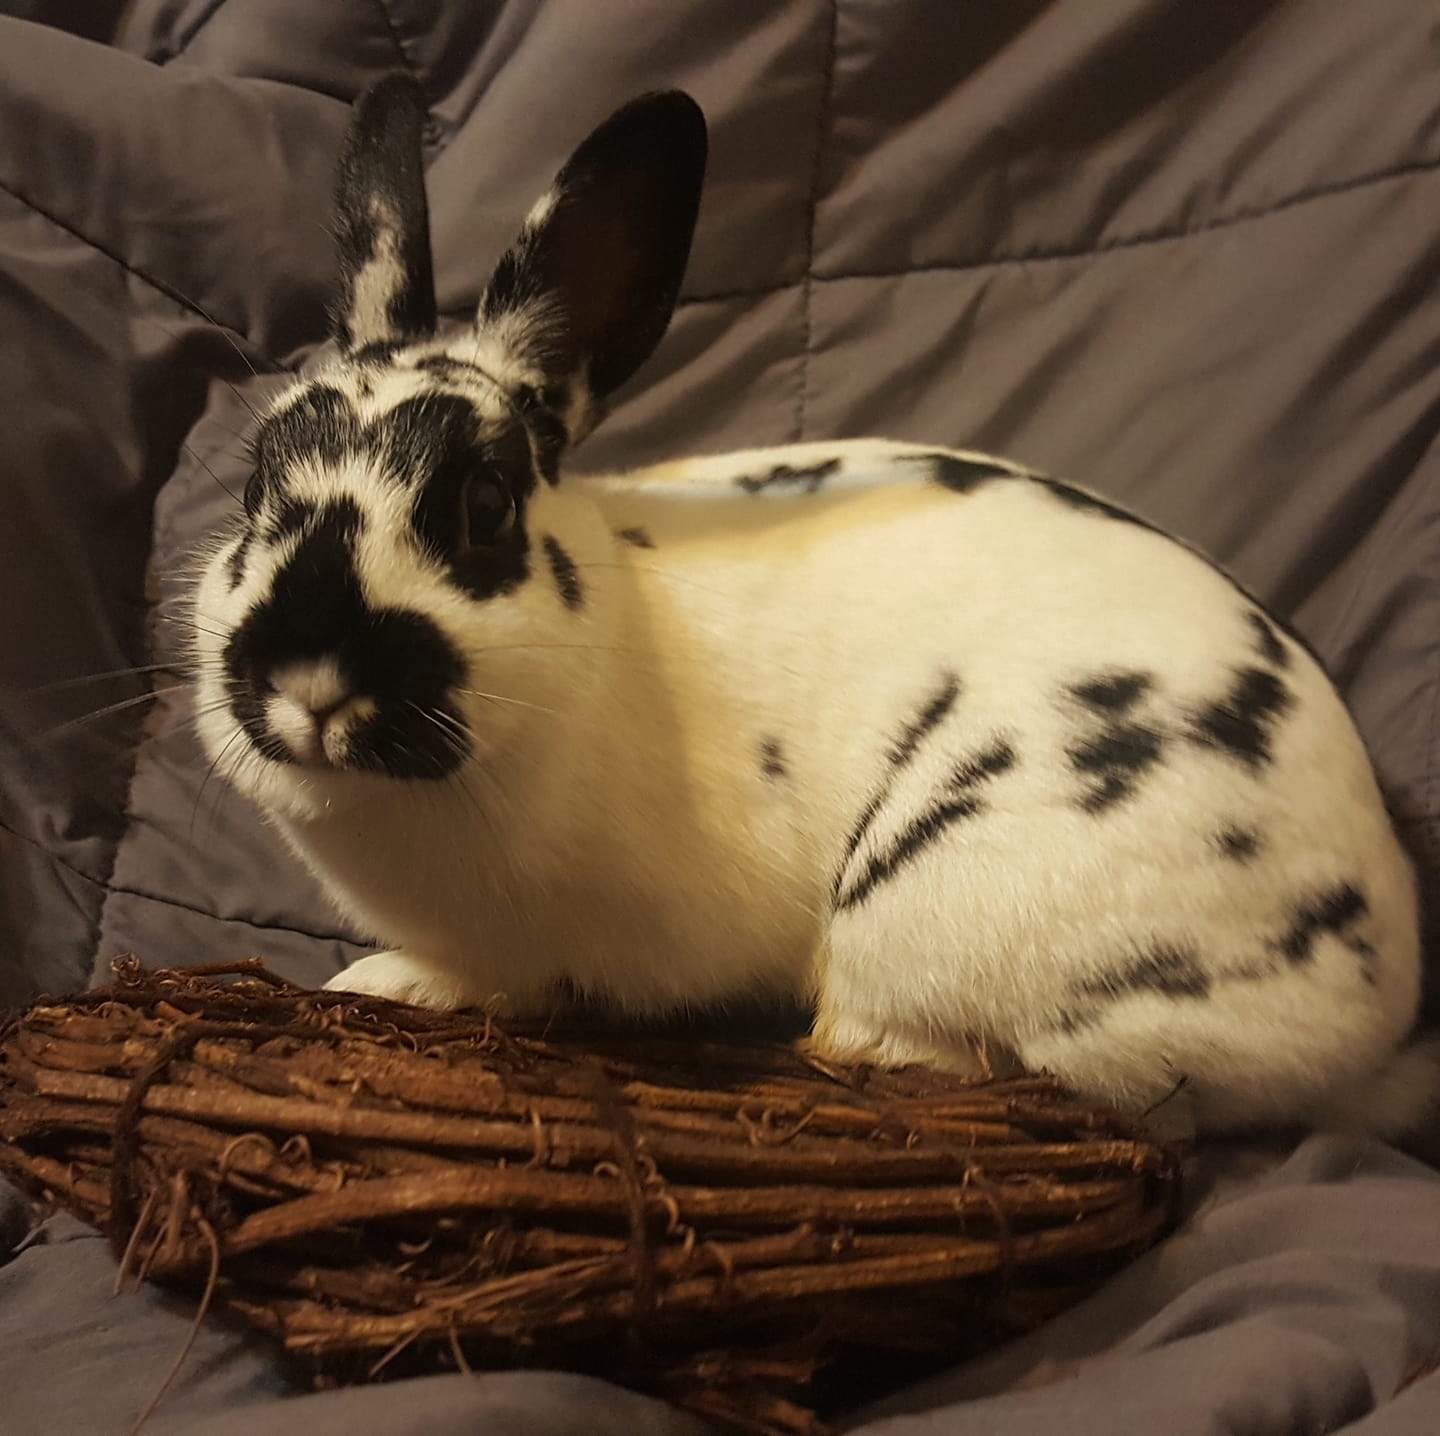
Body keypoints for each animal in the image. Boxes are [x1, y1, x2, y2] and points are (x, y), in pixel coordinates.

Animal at [191, 74, 1435, 1139]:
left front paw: (386, 978)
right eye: (253, 484)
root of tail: (1381, 1002)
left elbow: (511, 982)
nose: (309, 677)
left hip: (940, 913)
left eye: (485, 505)